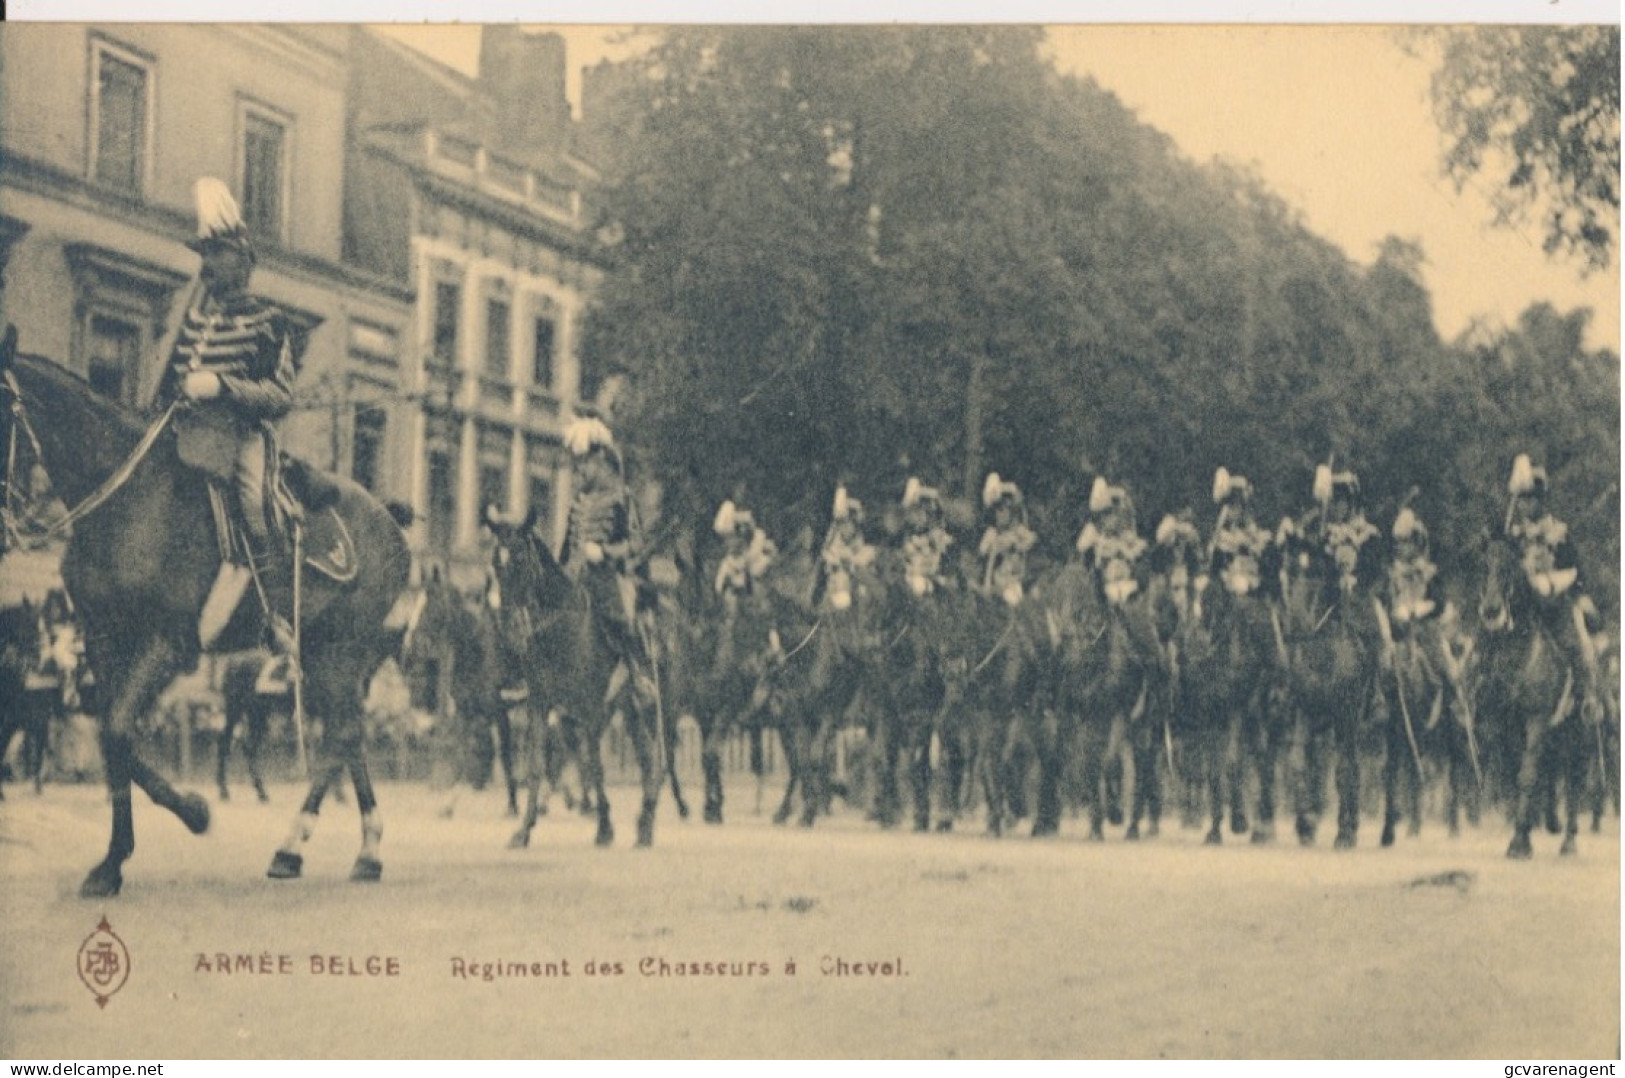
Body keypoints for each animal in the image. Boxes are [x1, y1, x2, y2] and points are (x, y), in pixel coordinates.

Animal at [3, 352, 409, 891]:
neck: (127, 500)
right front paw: (113, 861)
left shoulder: (168, 644)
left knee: (342, 735)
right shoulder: (105, 641)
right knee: (348, 734)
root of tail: (391, 522)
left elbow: (117, 731)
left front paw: (193, 813)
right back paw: (352, 851)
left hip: (341, 653)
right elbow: (114, 741)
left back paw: (305, 845)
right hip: (324, 660)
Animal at [1475, 539, 1586, 858]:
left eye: (1510, 568)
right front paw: (1521, 835)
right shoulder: (1499, 725)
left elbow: (1526, 776)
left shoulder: (1536, 721)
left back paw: (1569, 840)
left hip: (1577, 730)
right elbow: (1514, 777)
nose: (1491, 610)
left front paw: (1519, 842)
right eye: (1483, 565)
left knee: (1574, 778)